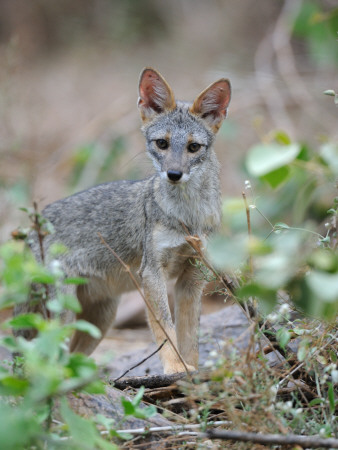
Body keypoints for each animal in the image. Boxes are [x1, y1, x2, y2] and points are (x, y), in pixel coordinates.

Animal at [17, 68, 231, 374]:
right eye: (162, 144)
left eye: (193, 147)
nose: (174, 174)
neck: (187, 214)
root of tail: (33, 228)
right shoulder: (151, 274)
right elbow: (166, 330)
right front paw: (176, 369)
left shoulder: (192, 278)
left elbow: (189, 335)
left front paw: (192, 369)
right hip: (65, 316)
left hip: (102, 319)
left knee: (69, 360)